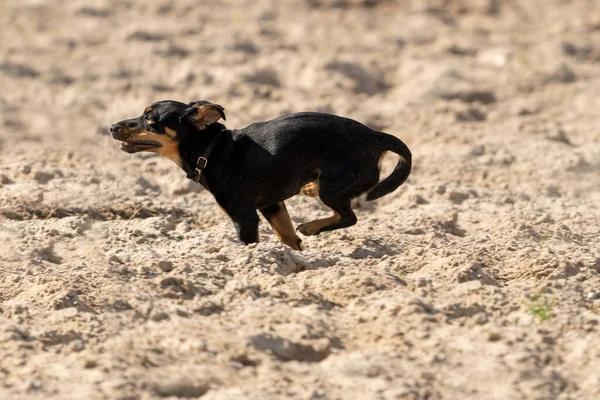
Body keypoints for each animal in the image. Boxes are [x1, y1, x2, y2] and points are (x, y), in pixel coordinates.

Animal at [110, 100, 410, 250]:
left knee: (348, 217)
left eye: (150, 120)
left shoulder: (243, 217)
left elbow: (249, 243)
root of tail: (375, 137)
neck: (212, 150)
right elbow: (288, 238)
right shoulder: (272, 205)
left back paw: (312, 225)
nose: (112, 126)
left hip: (333, 186)